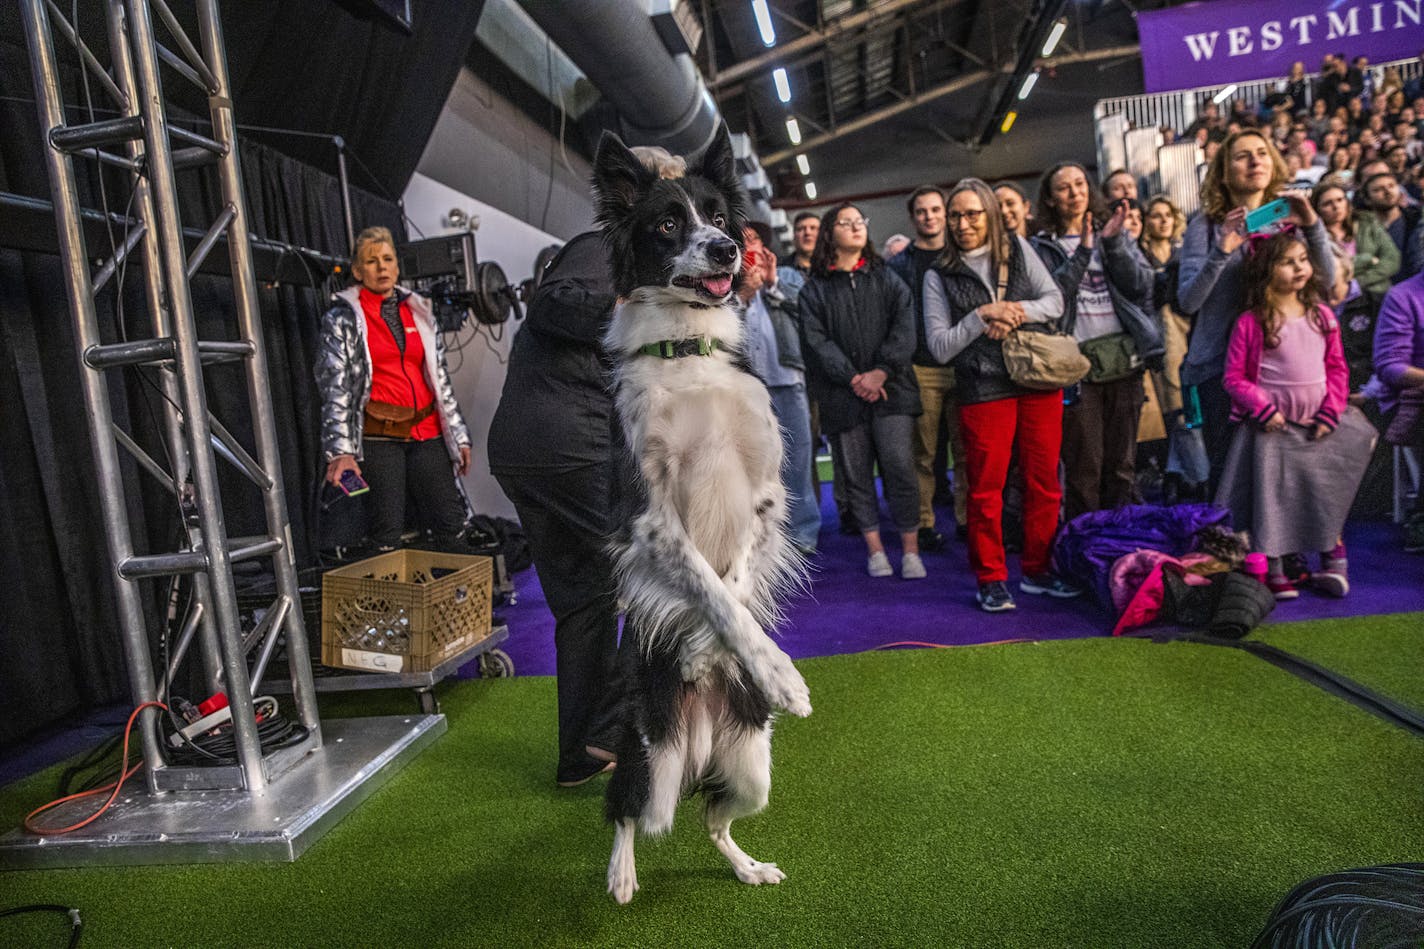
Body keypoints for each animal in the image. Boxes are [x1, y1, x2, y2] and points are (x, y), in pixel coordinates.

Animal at [589, 127, 814, 900]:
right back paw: (622, 873)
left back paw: (749, 866)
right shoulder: (650, 517)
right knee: (631, 811)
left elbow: (735, 587)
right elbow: (710, 591)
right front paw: (777, 672)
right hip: (652, 760)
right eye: (666, 224)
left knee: (714, 819)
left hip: (754, 767)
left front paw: (737, 660)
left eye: (719, 216)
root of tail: (702, 741)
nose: (726, 251)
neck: (688, 349)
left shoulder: (765, 495)